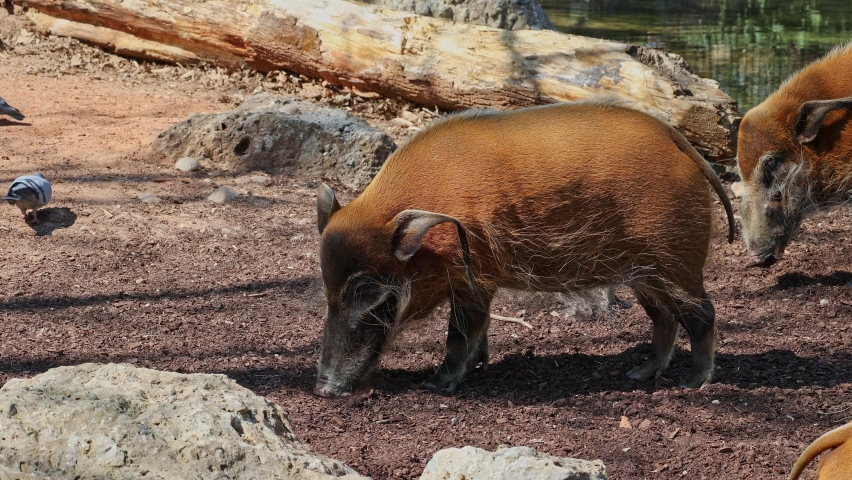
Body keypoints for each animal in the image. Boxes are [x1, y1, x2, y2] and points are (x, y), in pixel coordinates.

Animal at [314, 99, 734, 398]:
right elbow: (478, 329)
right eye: (327, 289)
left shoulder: (474, 281)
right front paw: (476, 369)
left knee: (703, 313)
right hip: (646, 272)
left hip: (675, 261)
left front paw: (436, 384)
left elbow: (460, 333)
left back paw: (694, 383)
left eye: (366, 290)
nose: (323, 390)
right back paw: (640, 374)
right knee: (664, 317)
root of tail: (679, 142)